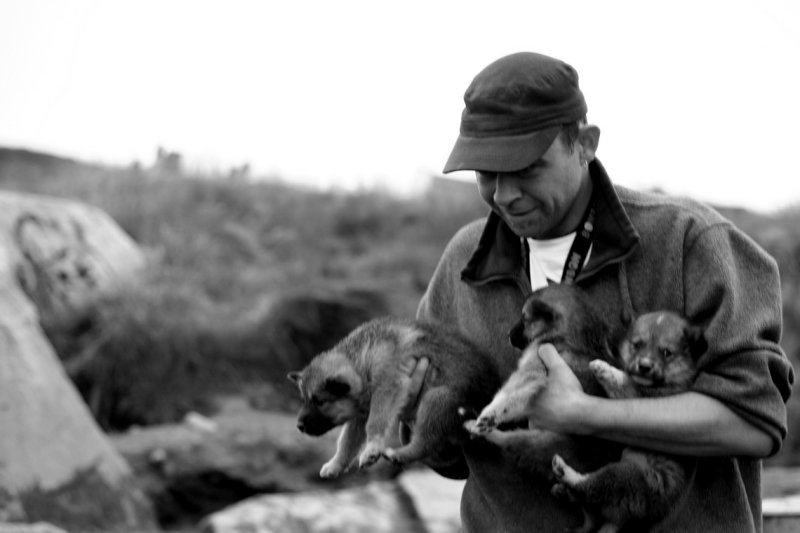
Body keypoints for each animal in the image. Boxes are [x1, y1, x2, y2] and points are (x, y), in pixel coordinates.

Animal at [288, 316, 500, 478]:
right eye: (304, 400)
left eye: (319, 402)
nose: (299, 426)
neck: (361, 359)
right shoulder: (359, 415)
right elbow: (347, 441)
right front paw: (336, 463)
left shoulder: (387, 387)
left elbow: (374, 423)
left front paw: (372, 448)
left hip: (436, 399)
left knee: (425, 442)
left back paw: (399, 454)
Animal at [552, 310, 708, 532]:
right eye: (637, 344)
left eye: (666, 352)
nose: (644, 366)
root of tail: (621, 520)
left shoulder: (642, 396)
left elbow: (623, 382)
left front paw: (603, 368)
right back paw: (563, 492)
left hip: (624, 475)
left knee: (589, 488)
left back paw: (564, 472)